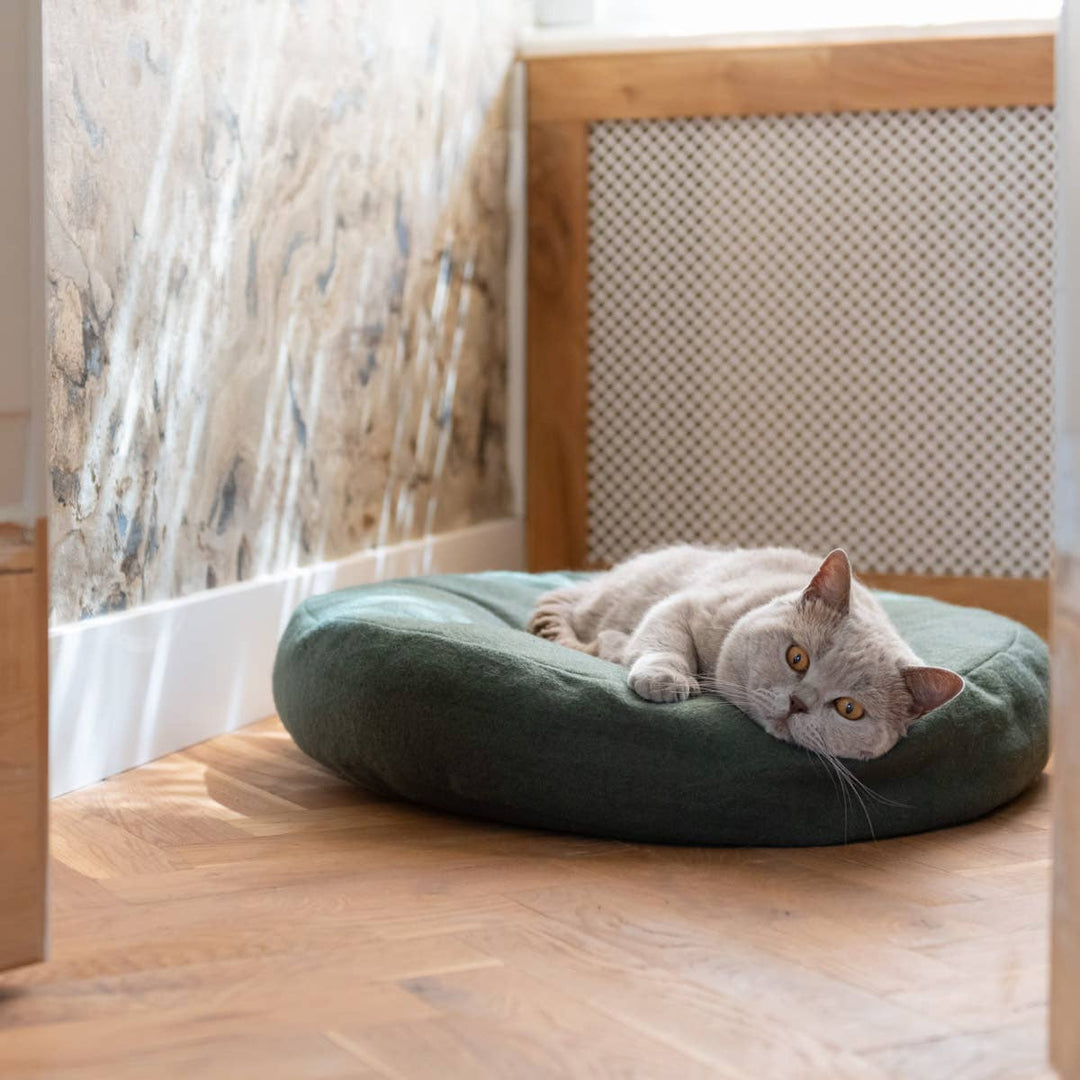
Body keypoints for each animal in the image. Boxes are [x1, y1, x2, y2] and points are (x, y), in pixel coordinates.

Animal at [529, 548, 963, 760]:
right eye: (797, 658)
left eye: (849, 709)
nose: (797, 703)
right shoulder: (683, 605)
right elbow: (665, 643)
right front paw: (667, 680)